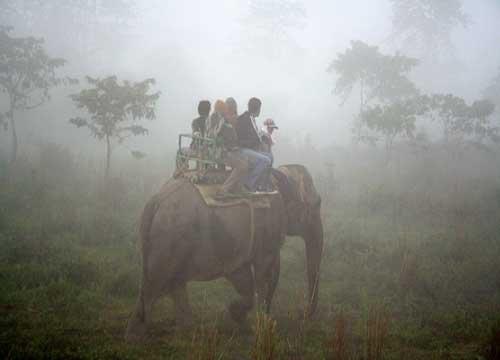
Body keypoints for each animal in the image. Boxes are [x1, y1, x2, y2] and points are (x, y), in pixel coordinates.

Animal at [125, 163, 324, 340]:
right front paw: (261, 324)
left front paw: (239, 316)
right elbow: (266, 272)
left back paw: (188, 330)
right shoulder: (270, 225)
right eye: (317, 204)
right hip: (169, 239)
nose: (302, 313)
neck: (277, 176)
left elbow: (243, 276)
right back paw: (136, 336)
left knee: (174, 282)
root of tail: (155, 201)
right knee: (155, 283)